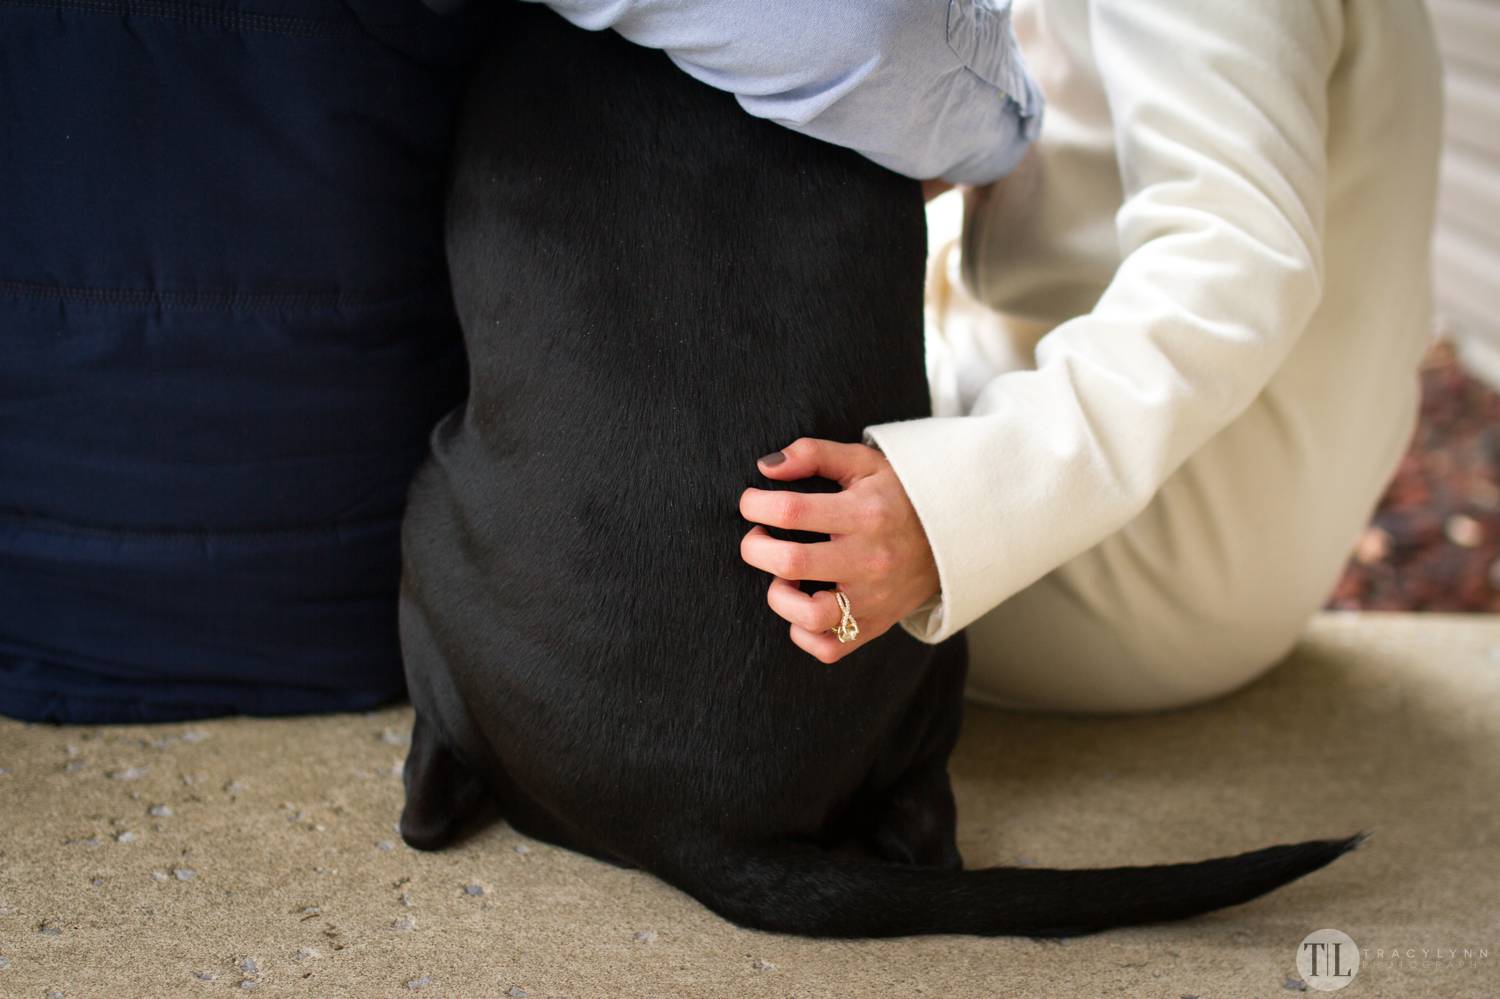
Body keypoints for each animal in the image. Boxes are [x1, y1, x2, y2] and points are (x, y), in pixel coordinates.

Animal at [399, 7, 1362, 936]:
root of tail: (702, 828)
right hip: (943, 657)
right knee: (930, 824)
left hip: (425, 519)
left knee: (427, 795)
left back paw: (433, 785)